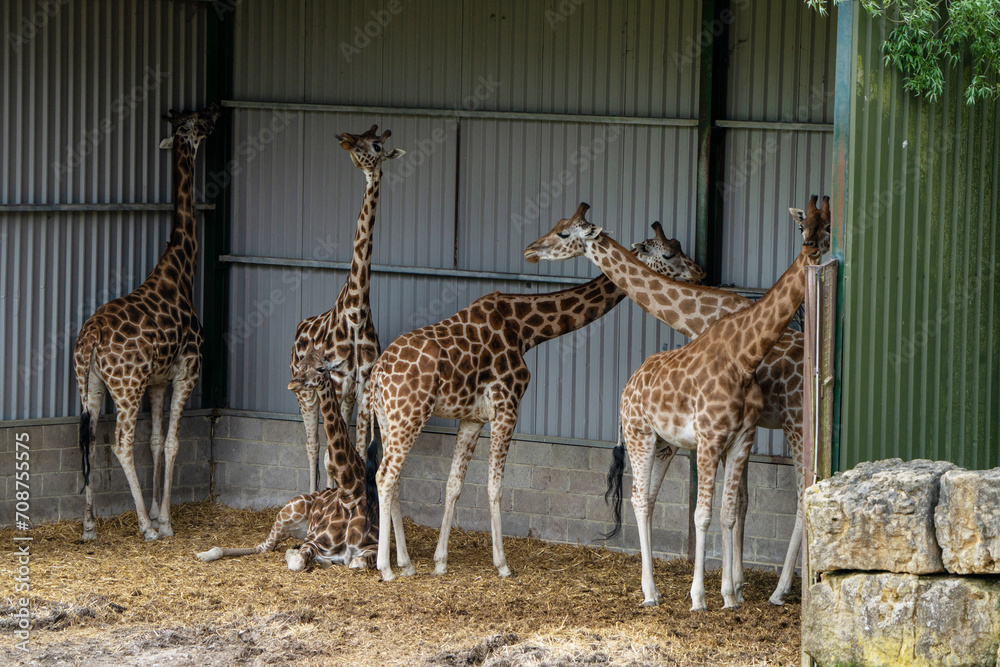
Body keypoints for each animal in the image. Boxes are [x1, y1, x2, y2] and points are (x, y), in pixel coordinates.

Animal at [73, 103, 221, 541]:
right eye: (195, 123)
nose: (216, 114)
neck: (180, 270)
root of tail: (91, 337)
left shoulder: (157, 380)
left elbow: (155, 440)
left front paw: (157, 510)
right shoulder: (188, 369)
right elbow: (171, 442)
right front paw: (163, 521)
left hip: (89, 382)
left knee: (88, 436)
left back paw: (89, 526)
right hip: (126, 386)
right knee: (120, 442)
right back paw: (143, 527)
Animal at [196, 346, 378, 570]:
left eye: (321, 368)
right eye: (300, 365)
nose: (294, 383)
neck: (350, 493)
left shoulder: (372, 547)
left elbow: (355, 562)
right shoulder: (314, 540)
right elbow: (297, 560)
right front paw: (298, 554)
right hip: (288, 512)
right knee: (263, 547)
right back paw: (205, 554)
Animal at [289, 124, 404, 493]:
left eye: (377, 145)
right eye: (361, 138)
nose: (346, 140)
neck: (355, 312)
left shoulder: (362, 389)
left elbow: (362, 448)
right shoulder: (336, 384)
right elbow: (329, 455)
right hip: (304, 394)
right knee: (312, 446)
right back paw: (313, 492)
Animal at [368, 203, 706, 582]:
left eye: (562, 230)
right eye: (669, 254)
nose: (699, 272)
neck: (524, 330)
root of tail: (377, 376)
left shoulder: (472, 418)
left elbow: (454, 484)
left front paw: (440, 562)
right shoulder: (507, 407)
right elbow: (495, 486)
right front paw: (502, 564)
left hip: (389, 418)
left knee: (394, 478)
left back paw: (406, 562)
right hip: (409, 415)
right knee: (385, 476)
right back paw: (386, 568)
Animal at [526, 196, 831, 610]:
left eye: (563, 233)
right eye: (670, 251)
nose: (531, 250)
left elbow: (730, 505)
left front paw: (728, 586)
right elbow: (739, 504)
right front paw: (734, 584)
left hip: (797, 421)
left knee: (803, 495)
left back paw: (781, 590)